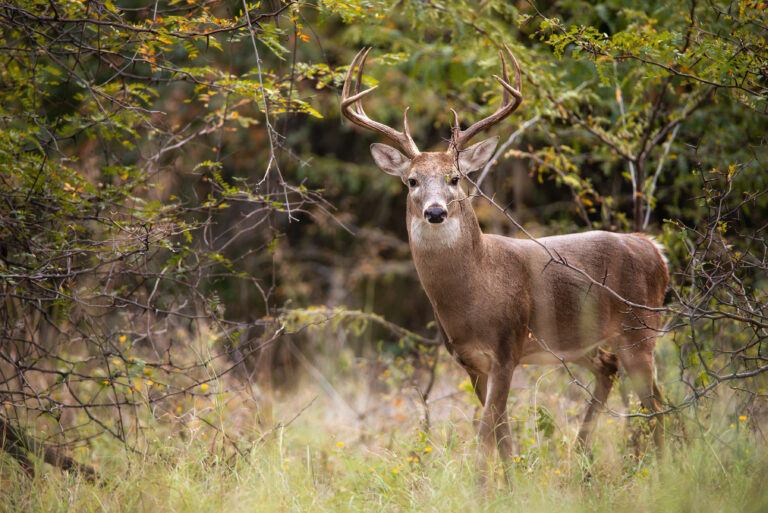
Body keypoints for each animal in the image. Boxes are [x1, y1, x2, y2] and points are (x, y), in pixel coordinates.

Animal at [340, 46, 668, 481]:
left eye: (455, 178)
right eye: (411, 181)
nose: (435, 212)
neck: (475, 291)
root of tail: (654, 249)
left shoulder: (507, 346)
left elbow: (486, 433)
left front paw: (483, 487)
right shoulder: (469, 360)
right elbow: (501, 432)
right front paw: (513, 483)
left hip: (640, 328)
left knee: (656, 404)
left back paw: (666, 467)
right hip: (582, 340)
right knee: (615, 372)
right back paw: (585, 458)